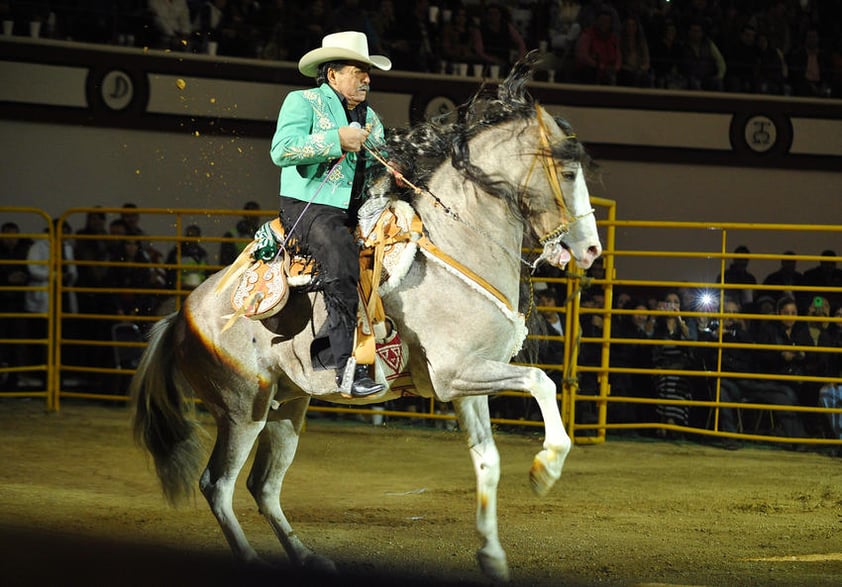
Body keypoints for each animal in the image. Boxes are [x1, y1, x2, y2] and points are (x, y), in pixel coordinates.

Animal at [131, 56, 600, 584]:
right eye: (567, 171)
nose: (590, 250)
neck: (457, 242)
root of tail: (182, 315)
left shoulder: (467, 384)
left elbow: (488, 462)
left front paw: (493, 556)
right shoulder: (458, 373)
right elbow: (542, 381)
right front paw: (546, 467)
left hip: (288, 407)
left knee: (263, 487)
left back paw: (307, 557)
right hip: (242, 408)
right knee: (217, 485)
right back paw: (252, 558)